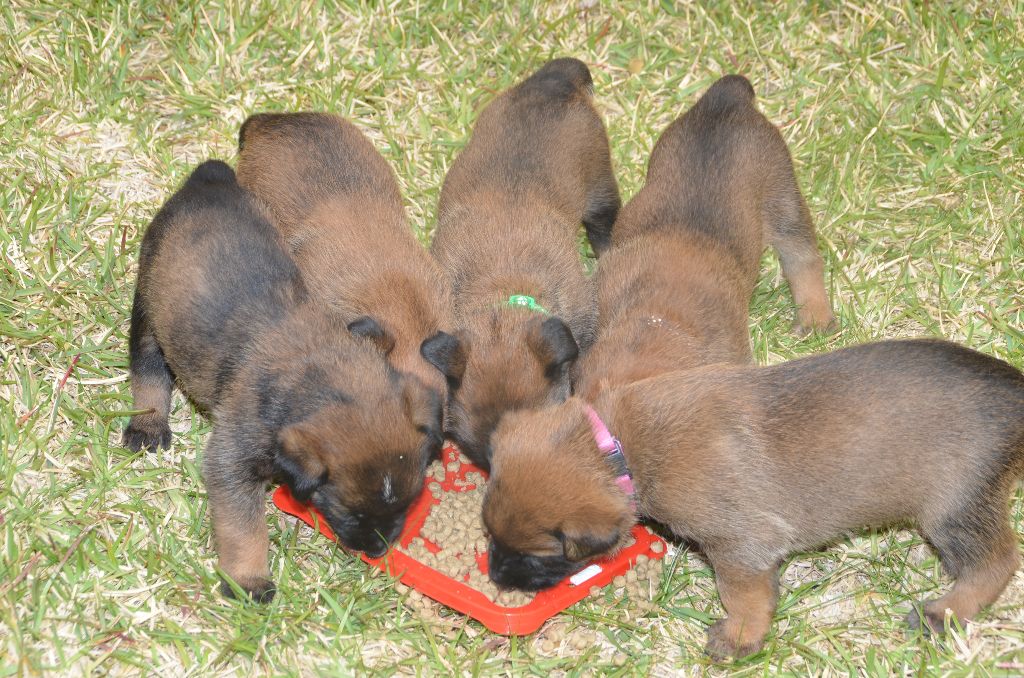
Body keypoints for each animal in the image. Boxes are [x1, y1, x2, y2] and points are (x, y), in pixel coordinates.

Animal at [121, 161, 442, 602]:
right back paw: (147, 425)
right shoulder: (232, 462)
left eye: (409, 502)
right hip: (149, 309)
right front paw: (249, 580)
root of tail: (209, 177)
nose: (378, 550)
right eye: (351, 512)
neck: (316, 373)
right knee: (148, 370)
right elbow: (244, 528)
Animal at [483, 340, 1024, 659]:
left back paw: (943, 613)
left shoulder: (740, 545)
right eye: (488, 535)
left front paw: (740, 636)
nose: (497, 579)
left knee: (997, 562)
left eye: (539, 557)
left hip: (953, 511)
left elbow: (743, 596)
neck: (614, 447)